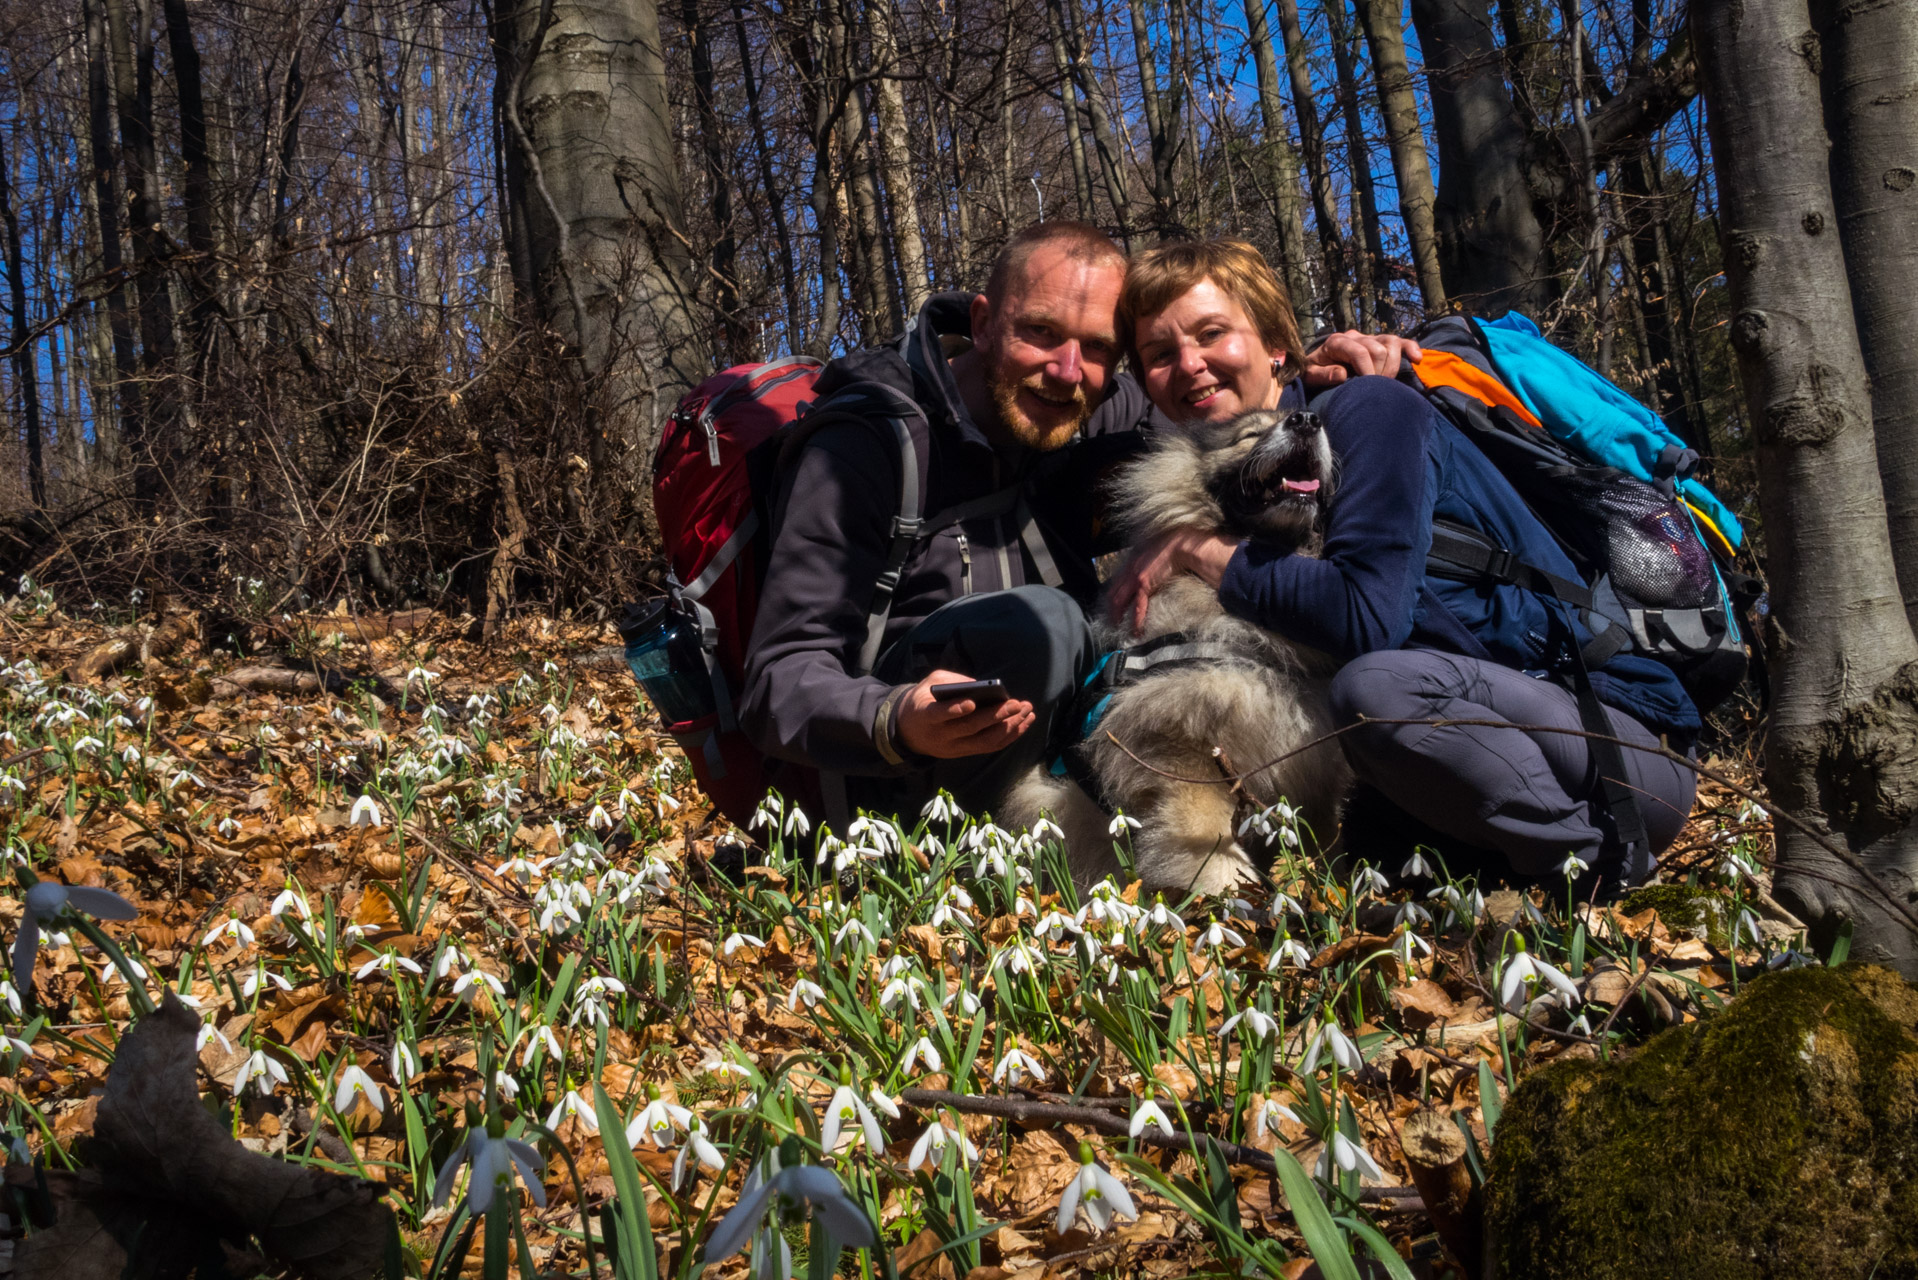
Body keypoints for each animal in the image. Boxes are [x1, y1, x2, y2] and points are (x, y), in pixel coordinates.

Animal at [1005, 410, 1350, 901]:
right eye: (1250, 434)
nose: (1305, 418)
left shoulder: (1315, 779)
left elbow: (1326, 852)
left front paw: (1331, 897)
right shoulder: (1187, 768)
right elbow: (1217, 863)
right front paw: (1233, 911)